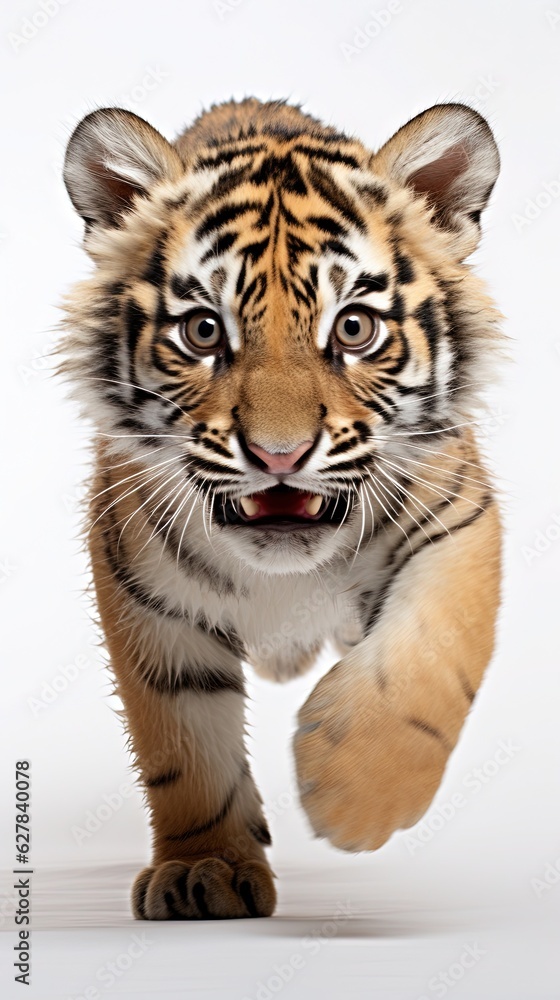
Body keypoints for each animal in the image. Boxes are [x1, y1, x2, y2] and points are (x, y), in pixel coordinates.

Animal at [60, 97, 503, 921]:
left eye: (354, 328)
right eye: (203, 330)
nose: (278, 455)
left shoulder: (455, 517)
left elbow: (431, 649)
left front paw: (360, 795)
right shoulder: (143, 590)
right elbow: (184, 749)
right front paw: (202, 869)